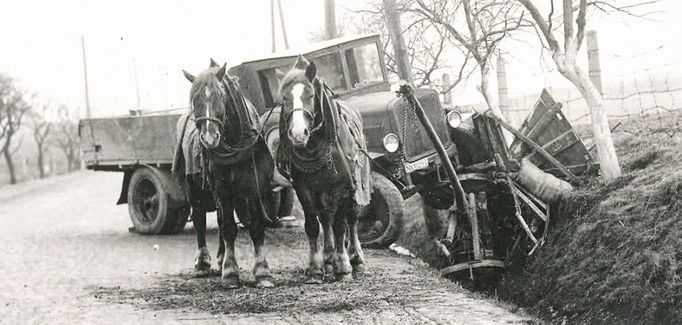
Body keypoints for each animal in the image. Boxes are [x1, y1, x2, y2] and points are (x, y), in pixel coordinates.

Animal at [178, 60, 278, 286]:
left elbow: (255, 226)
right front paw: (231, 272)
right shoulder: (221, 188)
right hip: (193, 187)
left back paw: (221, 256)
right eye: (194, 97)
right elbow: (228, 228)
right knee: (200, 220)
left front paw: (262, 271)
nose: (209, 137)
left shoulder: (254, 185)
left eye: (220, 95)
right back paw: (203, 263)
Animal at [278, 55, 372, 280]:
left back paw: (355, 258)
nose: (298, 134)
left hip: (354, 188)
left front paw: (344, 266)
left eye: (311, 95)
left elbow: (340, 226)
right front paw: (315, 266)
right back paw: (329, 259)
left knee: (351, 219)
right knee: (326, 218)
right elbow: (313, 225)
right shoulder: (304, 189)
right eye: (285, 99)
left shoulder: (342, 188)